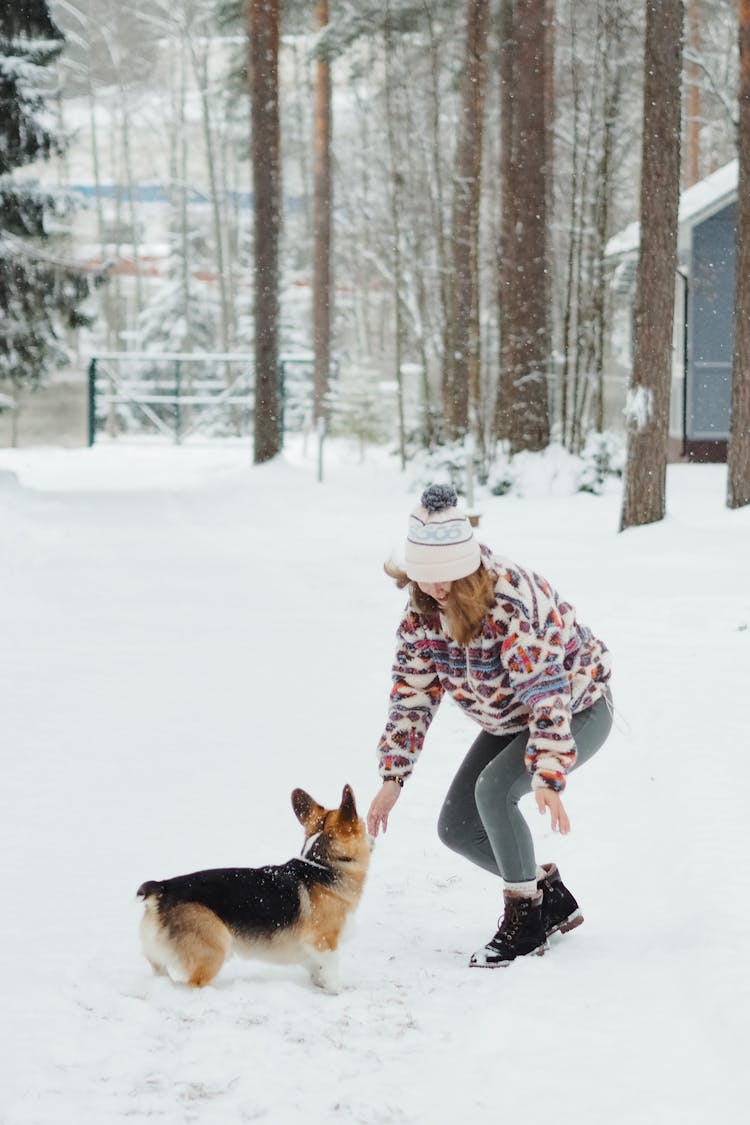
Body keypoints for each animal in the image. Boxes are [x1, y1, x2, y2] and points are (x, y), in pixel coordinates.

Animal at [137, 783, 373, 994]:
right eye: (363, 824)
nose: (373, 837)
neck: (320, 864)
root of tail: (162, 888)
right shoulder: (324, 943)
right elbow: (332, 972)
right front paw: (338, 992)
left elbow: (317, 971)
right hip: (214, 950)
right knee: (194, 985)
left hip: (161, 961)